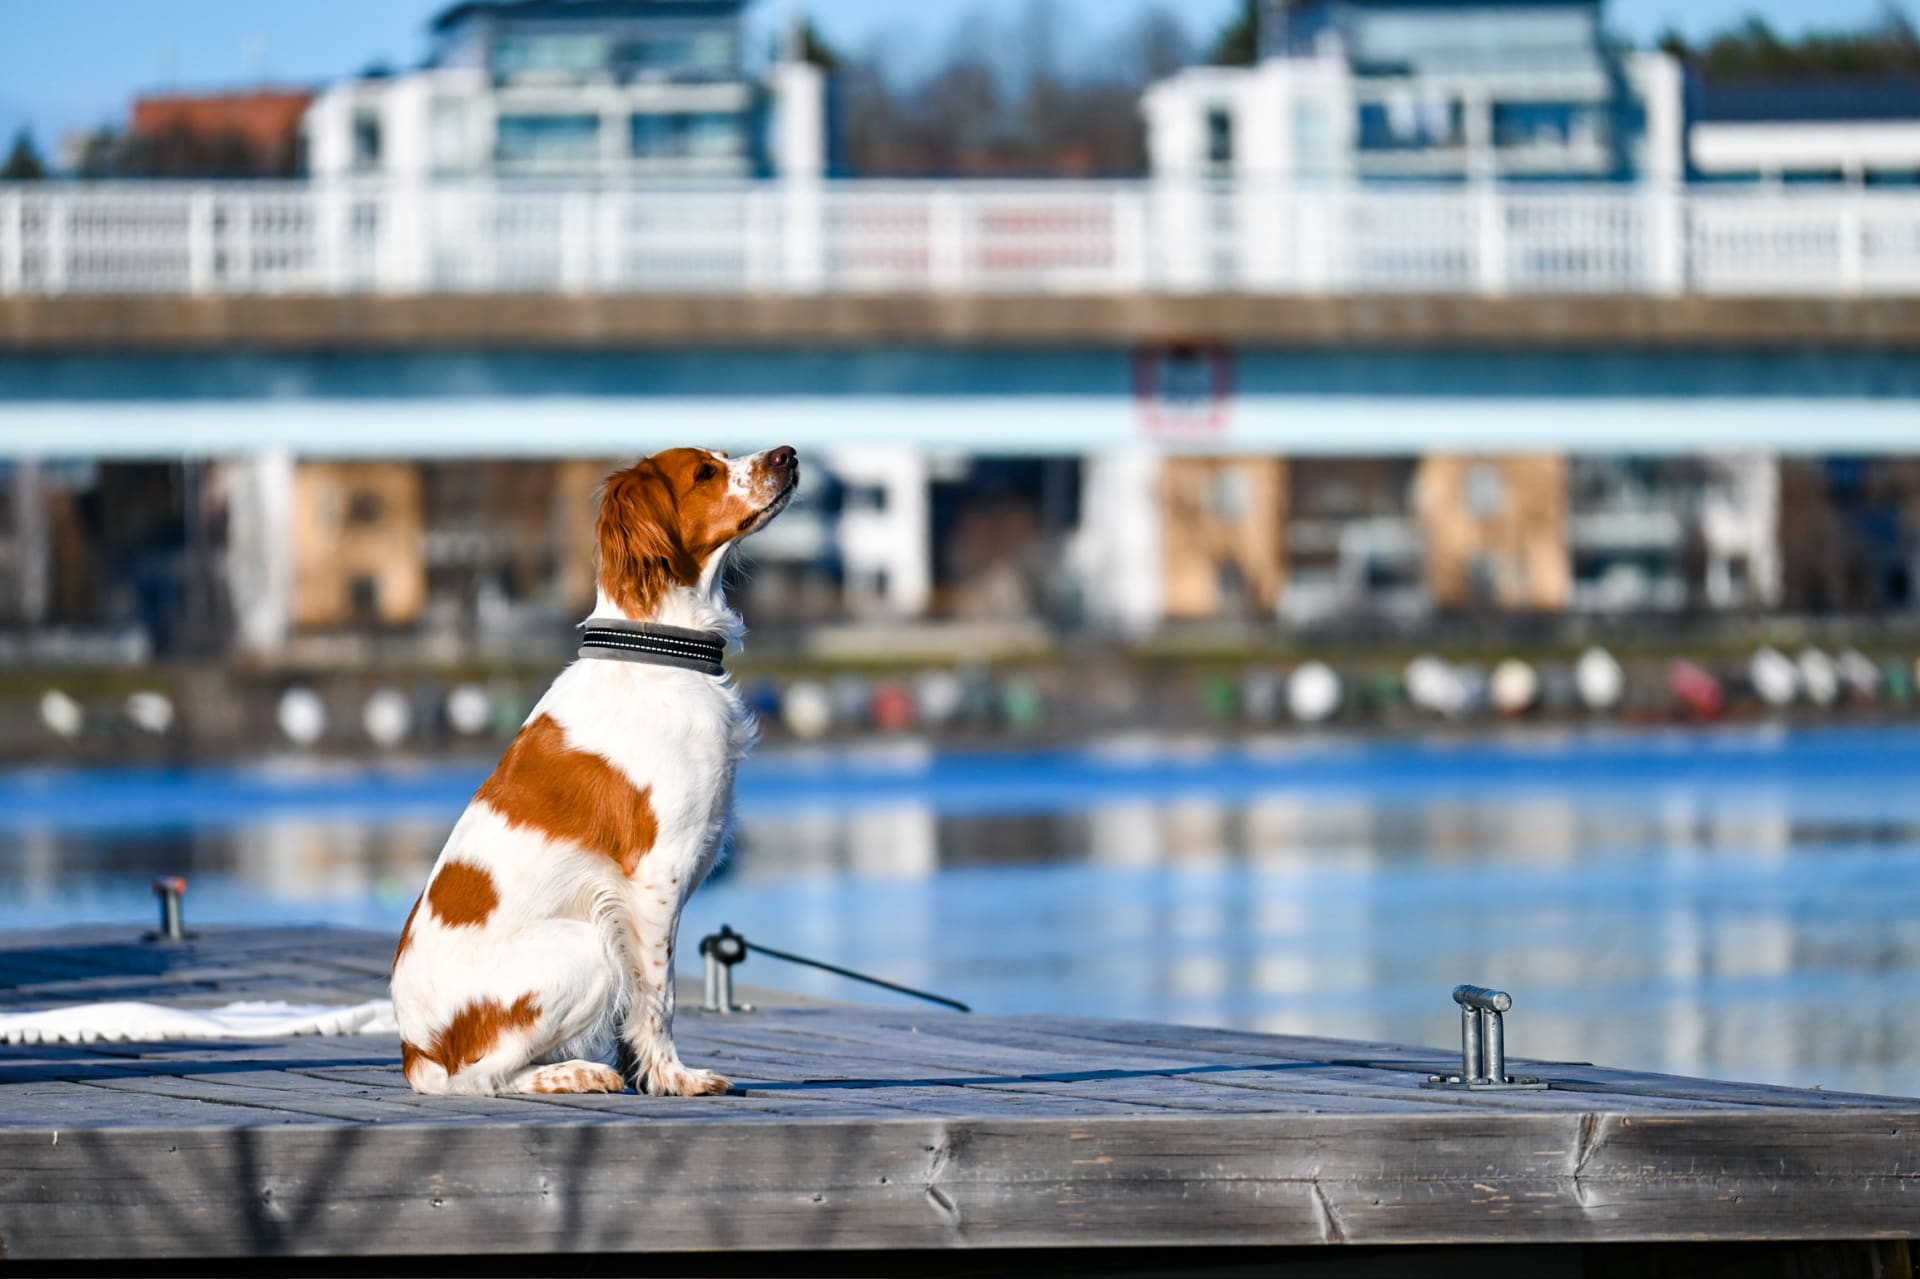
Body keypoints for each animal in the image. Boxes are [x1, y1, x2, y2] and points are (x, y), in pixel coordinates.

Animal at [389, 443, 794, 1090]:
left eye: (728, 456)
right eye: (705, 472)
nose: (789, 454)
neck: (658, 649)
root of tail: (416, 1052)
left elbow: (638, 1008)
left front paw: (643, 1073)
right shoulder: (656, 874)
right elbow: (659, 996)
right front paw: (675, 1078)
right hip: (584, 947)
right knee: (481, 1076)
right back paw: (573, 1073)